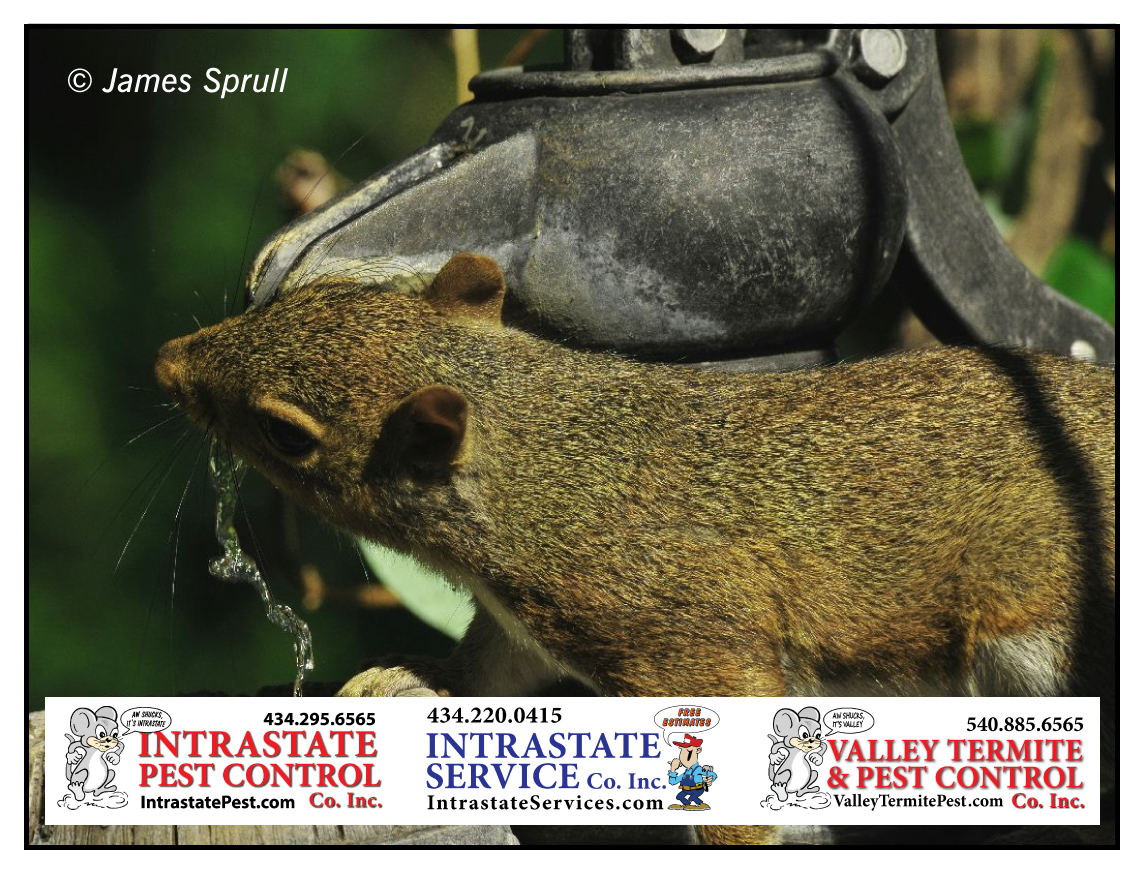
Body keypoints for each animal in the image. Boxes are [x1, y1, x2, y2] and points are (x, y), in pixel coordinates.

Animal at [155, 252, 1115, 845]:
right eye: (321, 298)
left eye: (286, 435)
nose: (167, 362)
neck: (552, 459)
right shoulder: (524, 624)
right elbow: (485, 672)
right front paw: (400, 678)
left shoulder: (678, 627)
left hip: (1036, 631)